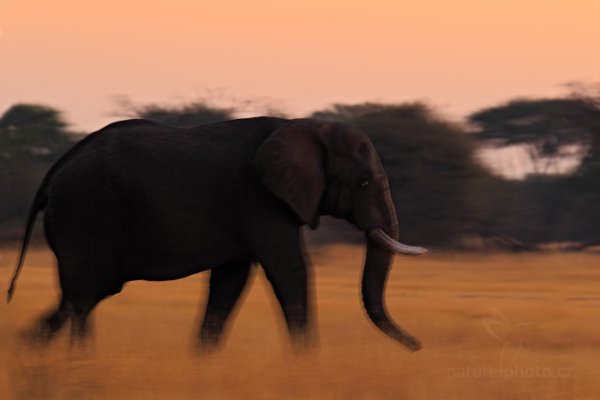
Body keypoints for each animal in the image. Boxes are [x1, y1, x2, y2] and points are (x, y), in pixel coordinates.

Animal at [7, 115, 424, 350]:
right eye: (364, 182)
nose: (417, 346)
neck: (305, 125)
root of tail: (54, 172)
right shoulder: (260, 199)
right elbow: (289, 270)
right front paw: (307, 366)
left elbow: (230, 282)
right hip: (84, 213)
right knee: (82, 298)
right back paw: (79, 365)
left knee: (79, 296)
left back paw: (29, 354)